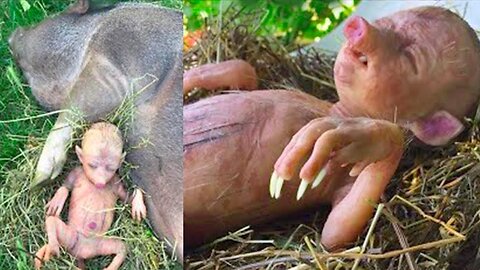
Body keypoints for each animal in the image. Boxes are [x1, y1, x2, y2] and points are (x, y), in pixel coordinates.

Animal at [35, 123, 146, 270]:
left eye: (111, 168)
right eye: (92, 165)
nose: (100, 183)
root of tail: (82, 254)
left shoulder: (117, 181)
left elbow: (127, 197)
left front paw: (138, 204)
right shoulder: (77, 171)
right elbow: (66, 184)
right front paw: (57, 200)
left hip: (99, 244)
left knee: (121, 247)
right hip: (72, 237)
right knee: (52, 221)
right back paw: (51, 249)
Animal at [184, 5, 480, 249]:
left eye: (410, 58)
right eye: (391, 23)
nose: (359, 26)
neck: (334, 109)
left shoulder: (342, 186)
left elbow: (335, 234)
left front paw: (350, 137)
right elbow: (247, 69)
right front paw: (188, 76)